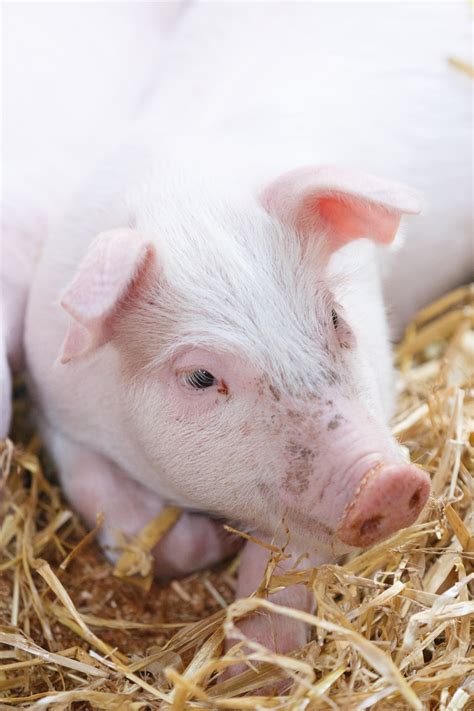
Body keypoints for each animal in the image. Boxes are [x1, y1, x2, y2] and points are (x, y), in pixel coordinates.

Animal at [3, 2, 472, 662]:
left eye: (335, 317)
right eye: (201, 377)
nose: (389, 481)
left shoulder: (377, 388)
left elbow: (292, 567)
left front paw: (255, 668)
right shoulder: (57, 402)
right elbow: (112, 510)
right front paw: (209, 547)